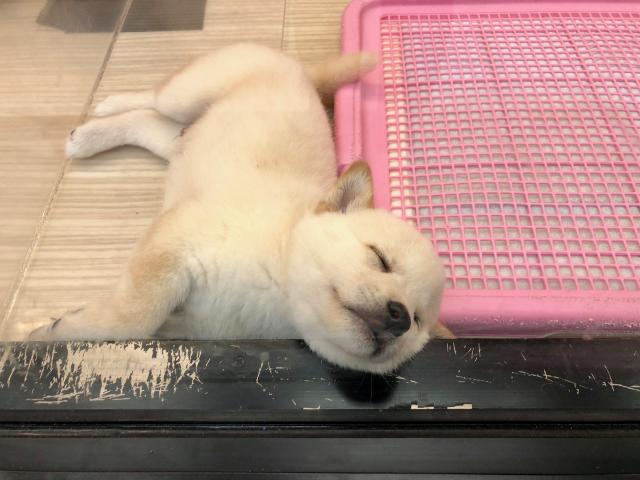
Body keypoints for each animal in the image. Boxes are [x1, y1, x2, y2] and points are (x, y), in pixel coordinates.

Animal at [29, 43, 450, 373]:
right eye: (380, 259)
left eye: (417, 320)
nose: (398, 316)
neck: (275, 291)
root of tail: (300, 70)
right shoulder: (177, 238)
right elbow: (133, 319)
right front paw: (55, 332)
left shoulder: (194, 325)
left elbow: (149, 326)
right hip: (189, 92)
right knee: (151, 99)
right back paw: (104, 111)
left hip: (179, 140)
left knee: (148, 124)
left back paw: (89, 136)